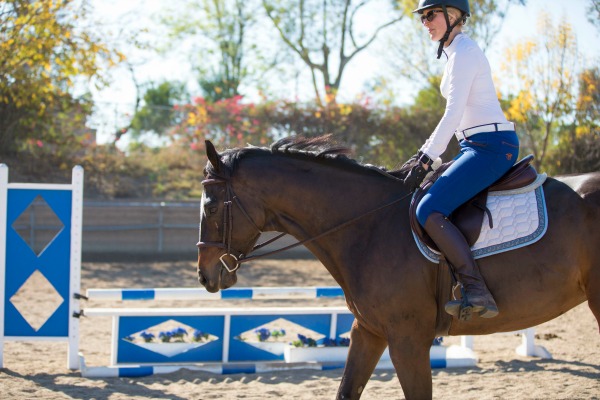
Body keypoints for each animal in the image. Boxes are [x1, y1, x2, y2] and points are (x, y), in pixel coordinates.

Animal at [197, 136, 600, 398]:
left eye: (212, 207)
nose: (206, 275)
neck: (370, 224)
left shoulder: (408, 341)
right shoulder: (369, 331)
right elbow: (346, 390)